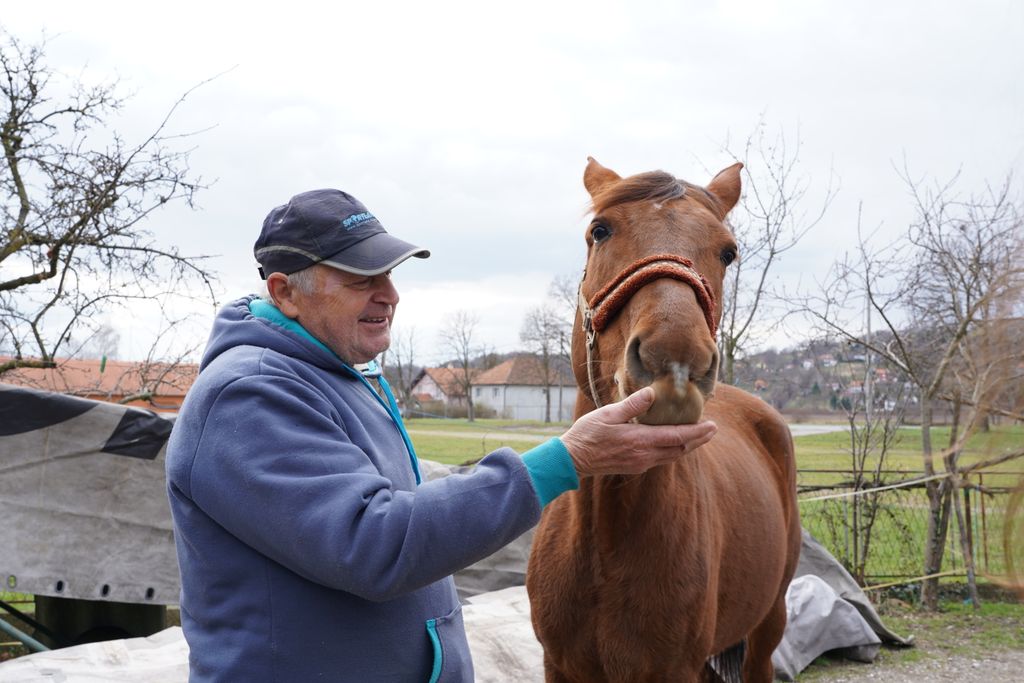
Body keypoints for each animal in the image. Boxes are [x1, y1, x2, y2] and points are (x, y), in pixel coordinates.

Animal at [528, 157, 798, 679]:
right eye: (600, 230)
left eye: (728, 252)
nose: (675, 362)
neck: (605, 542)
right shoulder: (557, 665)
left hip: (769, 622)